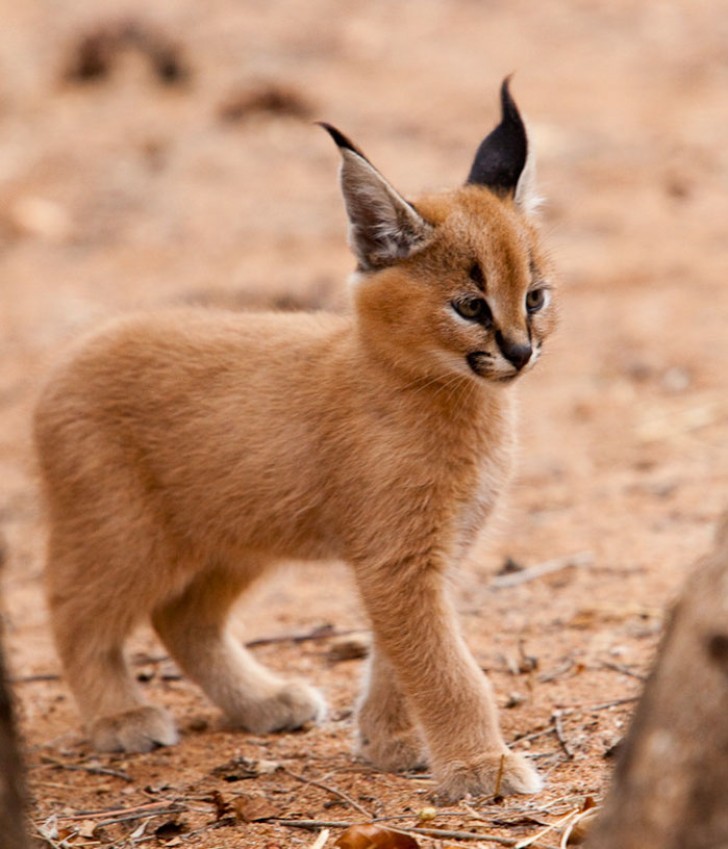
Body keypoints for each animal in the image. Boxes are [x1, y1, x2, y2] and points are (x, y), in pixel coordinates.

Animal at [34, 81, 556, 800]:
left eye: (535, 297)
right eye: (471, 306)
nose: (521, 352)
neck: (456, 398)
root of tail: (72, 351)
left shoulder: (434, 549)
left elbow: (402, 653)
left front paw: (389, 742)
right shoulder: (400, 556)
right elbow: (446, 665)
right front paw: (483, 765)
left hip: (235, 531)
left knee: (182, 618)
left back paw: (262, 701)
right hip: (125, 532)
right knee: (72, 611)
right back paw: (120, 716)